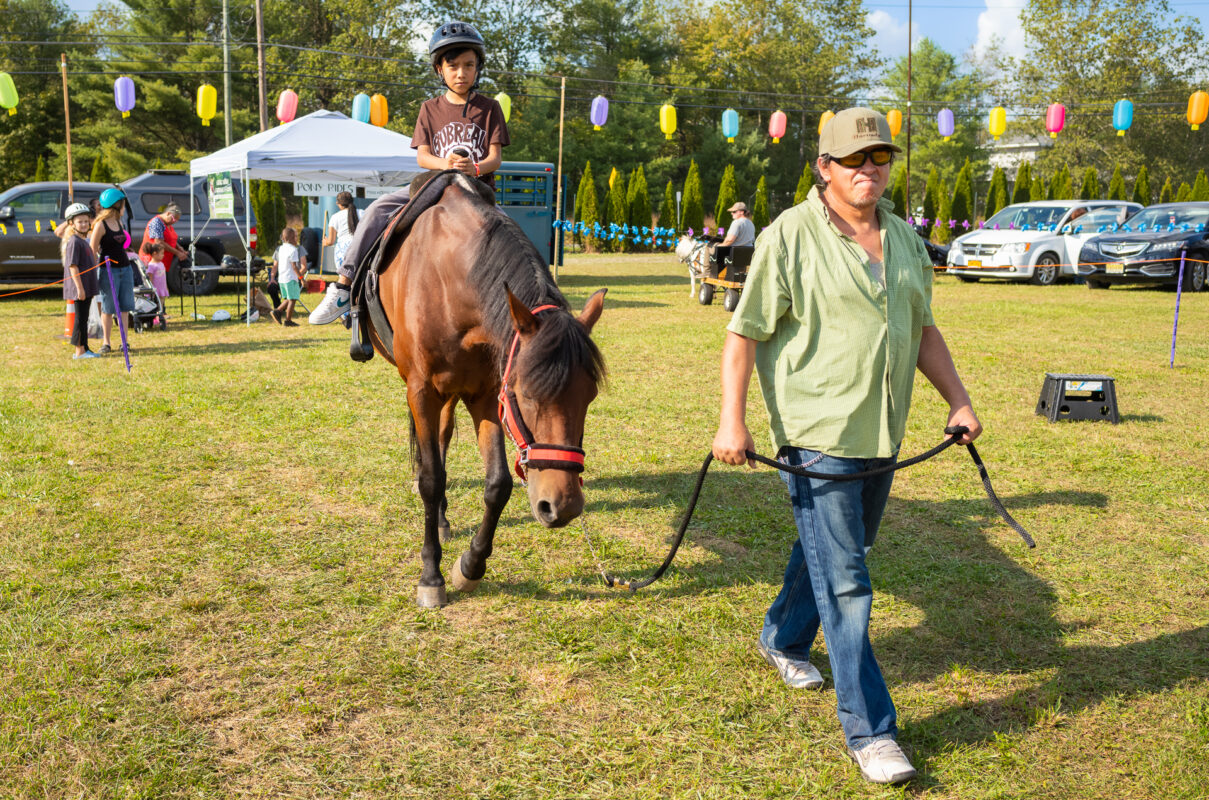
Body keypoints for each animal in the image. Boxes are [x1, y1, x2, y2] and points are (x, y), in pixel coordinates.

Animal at [367, 170, 604, 609]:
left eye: (589, 397)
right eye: (526, 395)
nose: (562, 505)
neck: (451, 283)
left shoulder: (486, 396)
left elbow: (498, 484)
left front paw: (470, 566)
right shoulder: (422, 391)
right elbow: (431, 479)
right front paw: (431, 576)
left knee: (443, 439)